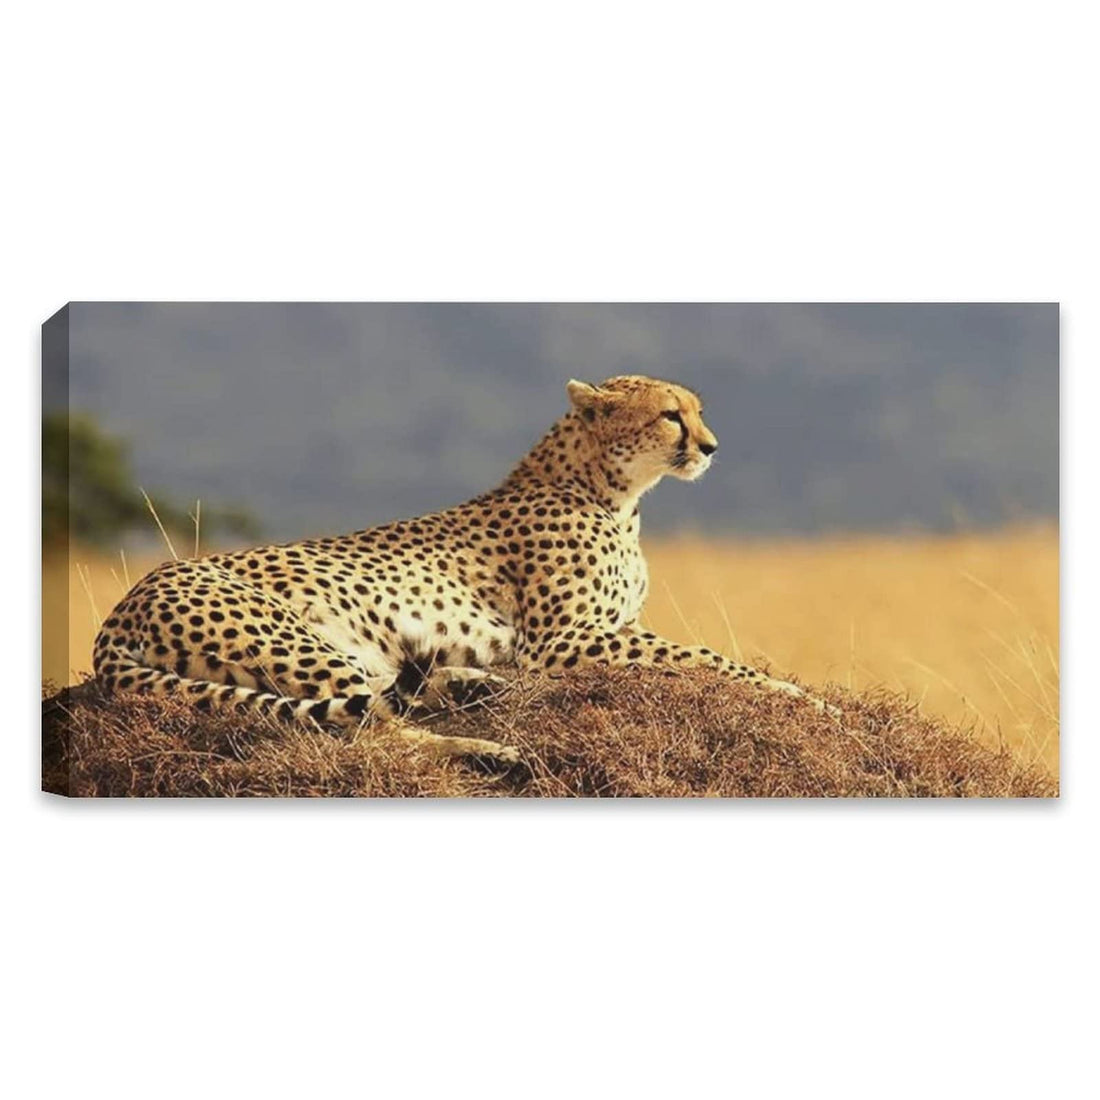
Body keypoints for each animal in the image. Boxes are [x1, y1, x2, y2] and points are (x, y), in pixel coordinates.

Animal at [93, 375, 834, 763]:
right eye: (670, 415)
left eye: (698, 411)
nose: (711, 446)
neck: (611, 491)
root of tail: (123, 605)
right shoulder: (564, 641)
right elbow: (703, 655)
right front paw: (801, 696)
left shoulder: (591, 634)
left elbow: (698, 654)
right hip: (293, 639)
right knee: (369, 729)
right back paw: (488, 748)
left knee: (388, 695)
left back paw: (474, 689)